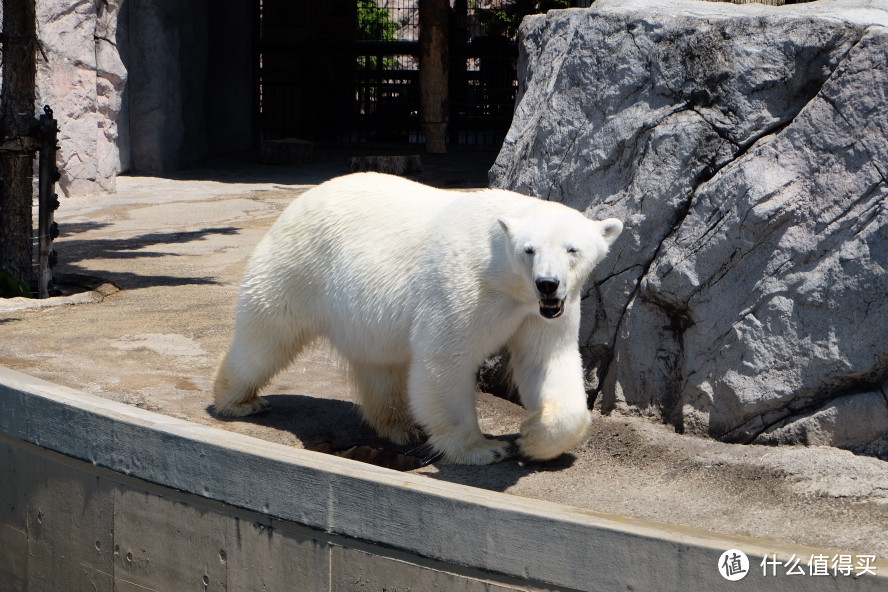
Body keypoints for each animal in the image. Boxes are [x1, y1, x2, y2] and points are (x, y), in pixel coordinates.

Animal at [212, 173, 620, 464]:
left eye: (572, 249)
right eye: (529, 250)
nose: (547, 284)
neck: (505, 277)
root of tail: (300, 200)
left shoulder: (542, 310)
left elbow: (547, 359)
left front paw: (533, 437)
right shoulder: (463, 285)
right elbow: (445, 359)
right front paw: (482, 449)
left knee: (381, 366)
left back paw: (402, 427)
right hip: (300, 266)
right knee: (267, 334)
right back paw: (238, 401)